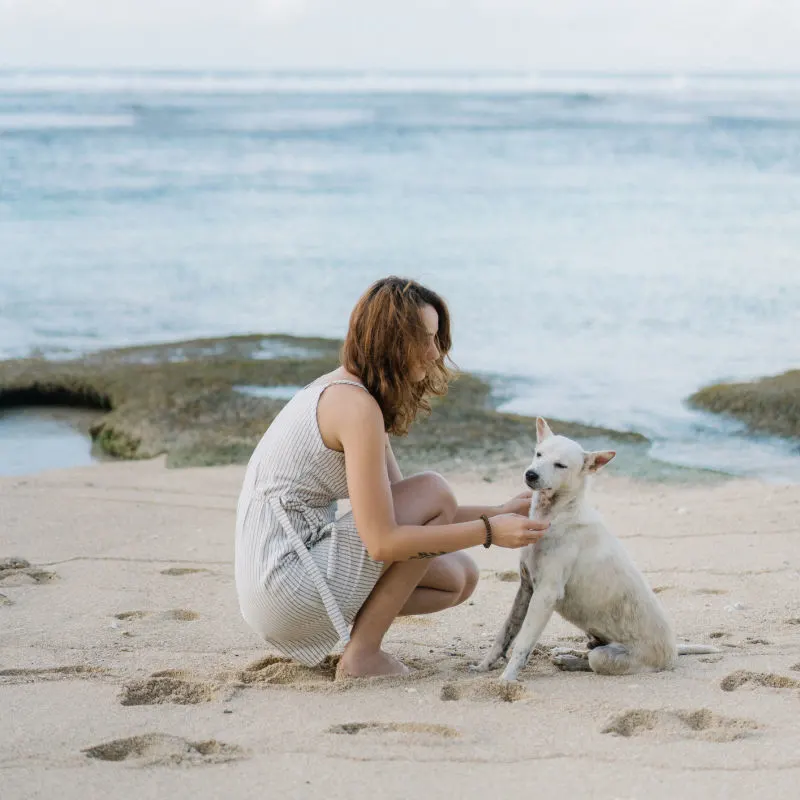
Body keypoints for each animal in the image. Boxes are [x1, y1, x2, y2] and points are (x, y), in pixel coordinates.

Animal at [476, 418, 720, 680]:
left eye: (560, 465)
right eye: (538, 453)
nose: (531, 474)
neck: (554, 514)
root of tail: (673, 651)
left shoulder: (545, 594)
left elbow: (522, 644)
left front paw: (507, 679)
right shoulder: (526, 588)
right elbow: (507, 632)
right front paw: (485, 666)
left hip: (608, 656)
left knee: (593, 660)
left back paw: (570, 661)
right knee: (589, 649)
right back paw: (566, 655)